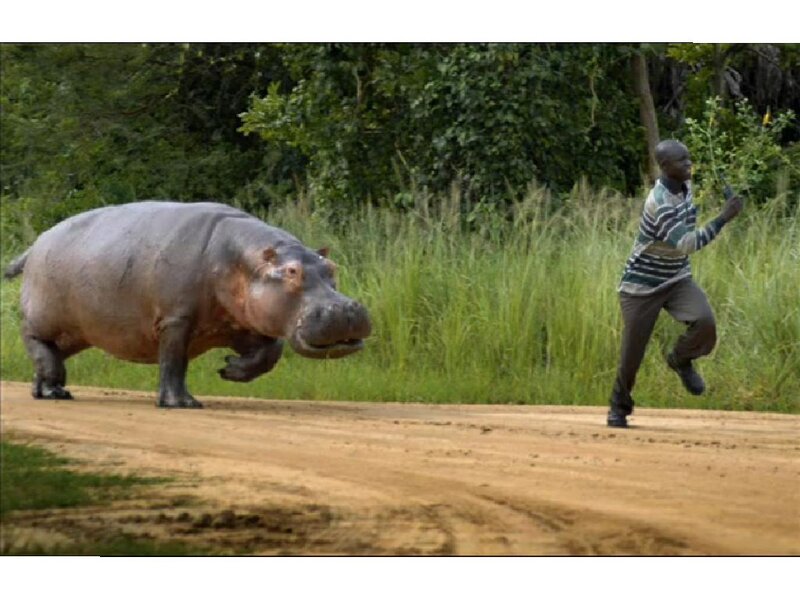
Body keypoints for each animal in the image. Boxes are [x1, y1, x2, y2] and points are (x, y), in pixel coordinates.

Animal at [4, 201, 371, 408]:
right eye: (293, 272)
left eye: (332, 268)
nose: (345, 310)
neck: (242, 261)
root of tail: (36, 243)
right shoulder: (176, 320)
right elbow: (173, 362)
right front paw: (182, 404)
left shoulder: (243, 322)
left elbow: (270, 354)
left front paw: (230, 370)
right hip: (47, 318)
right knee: (34, 340)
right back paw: (55, 390)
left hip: (78, 332)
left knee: (49, 355)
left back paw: (48, 392)